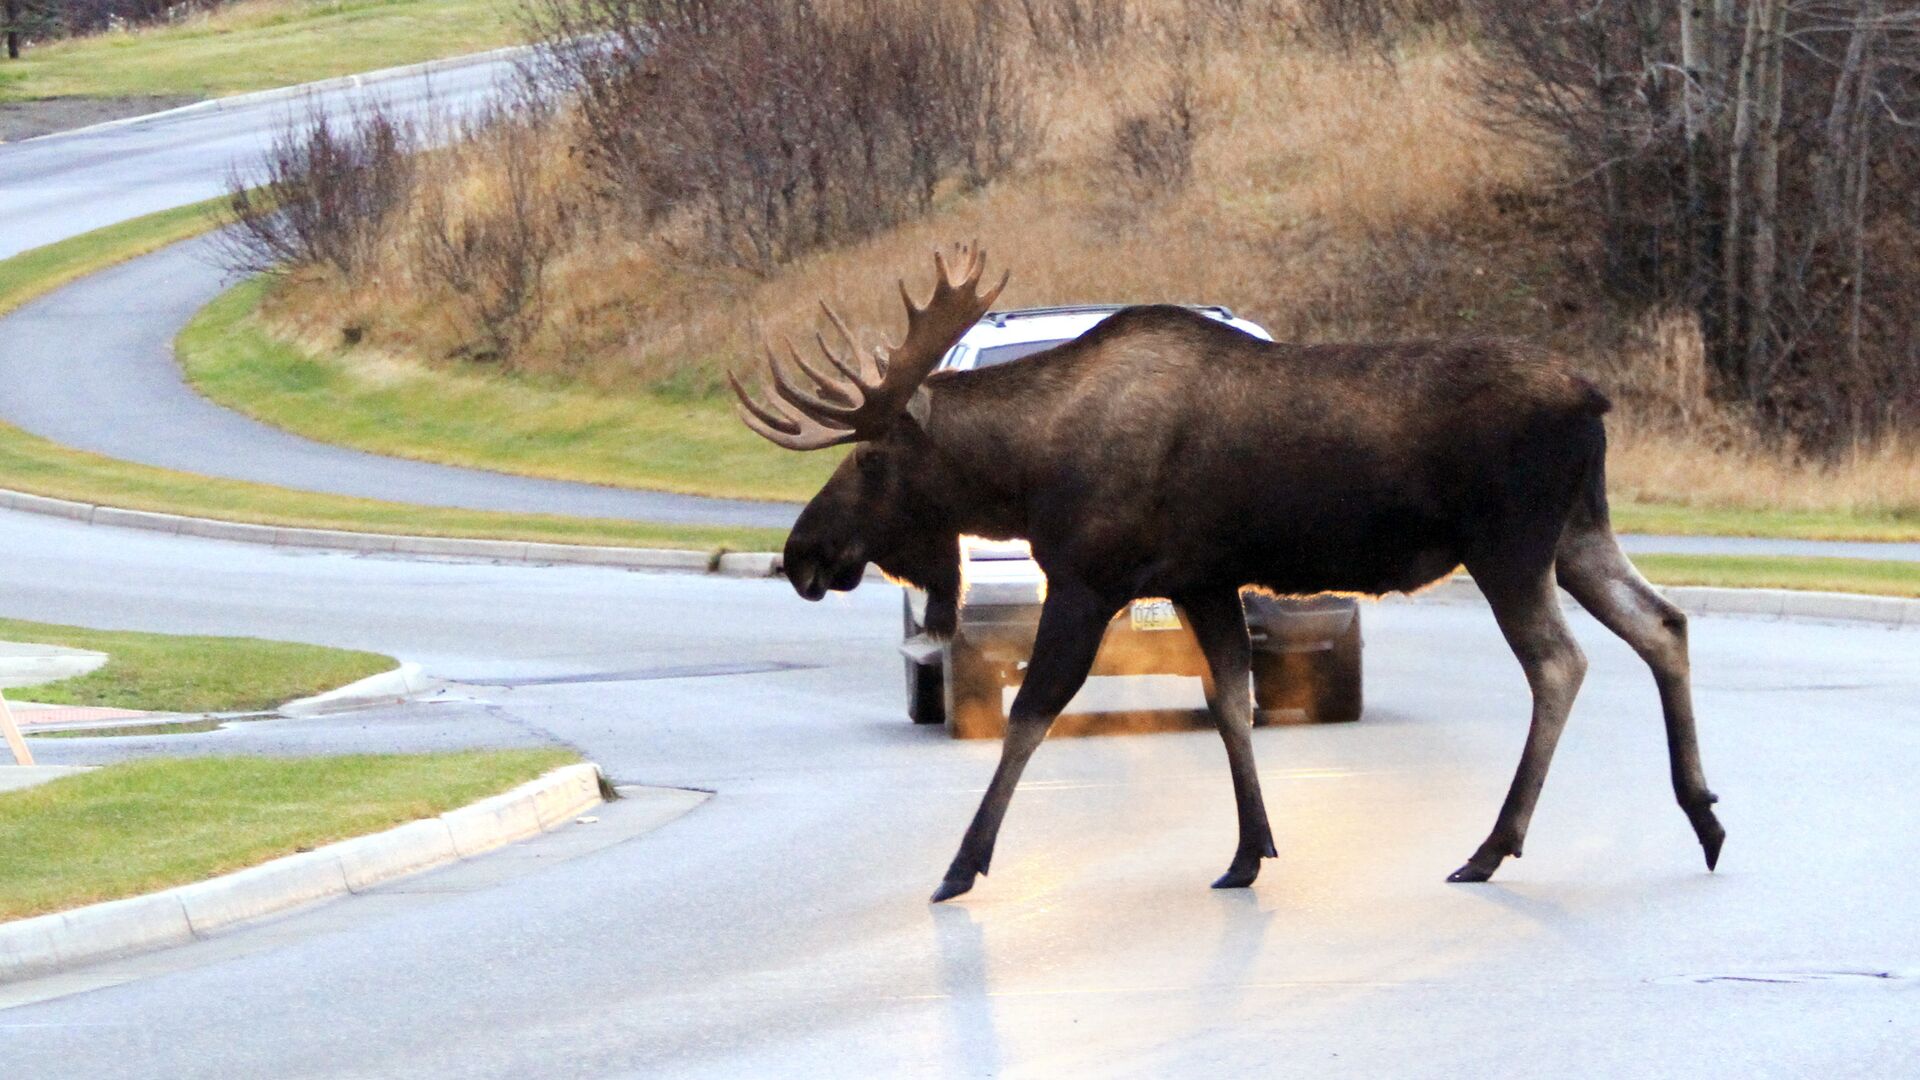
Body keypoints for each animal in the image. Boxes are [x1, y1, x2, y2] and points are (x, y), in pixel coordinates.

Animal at [729, 244, 1728, 899]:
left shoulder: (1090, 578)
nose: (801, 553)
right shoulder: (1200, 578)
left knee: (1561, 662)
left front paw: (961, 866)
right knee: (1663, 621)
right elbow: (1232, 703)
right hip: (1578, 532)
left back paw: (1494, 845)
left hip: (1509, 544)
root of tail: (1594, 399)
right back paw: (1705, 815)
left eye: (868, 462)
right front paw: (1250, 853)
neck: (1027, 471)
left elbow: (1031, 715)